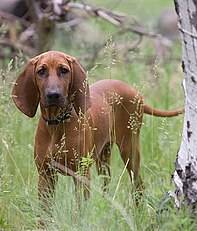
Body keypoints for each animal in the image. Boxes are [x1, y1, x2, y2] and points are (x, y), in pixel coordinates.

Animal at [11, 51, 182, 213]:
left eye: (64, 70)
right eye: (41, 71)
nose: (53, 95)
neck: (57, 124)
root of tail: (134, 92)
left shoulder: (81, 173)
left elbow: (79, 210)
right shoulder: (45, 175)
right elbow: (44, 214)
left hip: (130, 150)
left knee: (138, 185)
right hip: (103, 157)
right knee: (107, 184)